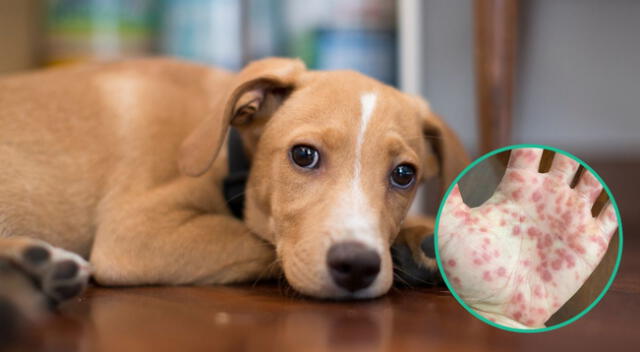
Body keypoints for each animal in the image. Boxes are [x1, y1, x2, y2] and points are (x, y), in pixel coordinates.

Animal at [0, 56, 470, 326]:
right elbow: (257, 241)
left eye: (404, 174)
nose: (356, 266)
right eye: (303, 155)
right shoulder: (135, 232)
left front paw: (421, 238)